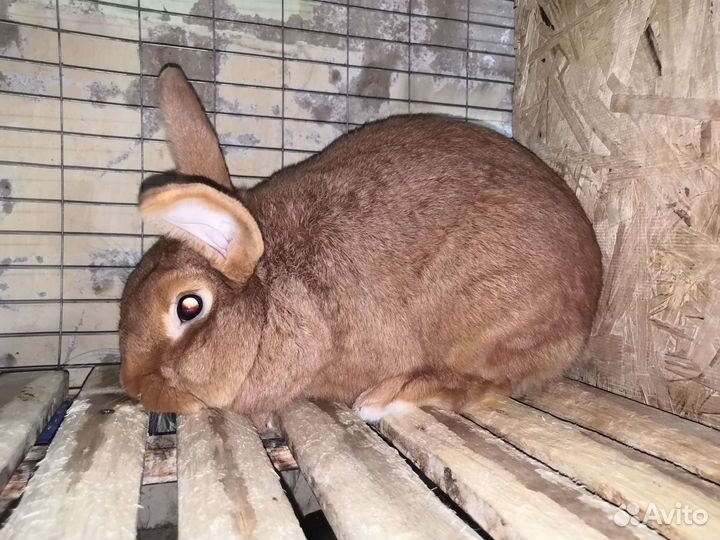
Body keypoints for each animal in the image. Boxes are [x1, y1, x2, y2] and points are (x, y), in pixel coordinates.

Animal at [119, 65, 602, 425]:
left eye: (188, 307)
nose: (134, 387)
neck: (272, 290)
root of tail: (586, 315)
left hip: (491, 322)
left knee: (494, 382)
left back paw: (390, 397)